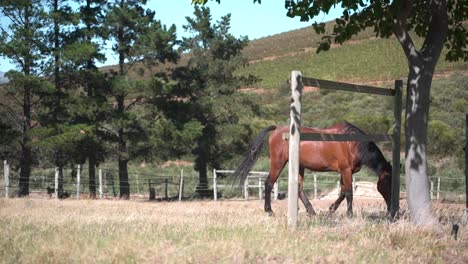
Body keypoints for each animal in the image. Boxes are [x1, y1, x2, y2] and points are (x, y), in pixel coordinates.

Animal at [234, 121, 392, 217]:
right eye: (388, 184)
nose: (391, 210)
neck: (352, 144)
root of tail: (277, 129)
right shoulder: (346, 170)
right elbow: (348, 193)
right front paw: (349, 214)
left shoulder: (345, 172)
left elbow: (342, 191)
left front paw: (331, 209)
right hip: (278, 163)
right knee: (268, 183)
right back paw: (269, 211)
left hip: (299, 166)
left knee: (298, 188)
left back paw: (311, 212)